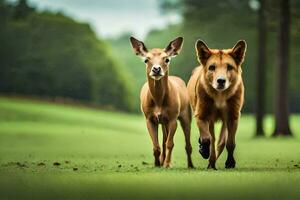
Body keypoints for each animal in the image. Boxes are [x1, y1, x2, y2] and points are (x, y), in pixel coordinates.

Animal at [129, 36, 195, 168]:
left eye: (167, 59)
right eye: (146, 60)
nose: (156, 69)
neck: (158, 102)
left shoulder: (173, 117)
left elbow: (170, 143)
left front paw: (167, 164)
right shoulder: (149, 118)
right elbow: (156, 146)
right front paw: (157, 163)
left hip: (185, 114)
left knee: (187, 143)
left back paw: (190, 165)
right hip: (163, 122)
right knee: (164, 140)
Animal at [188, 39, 246, 170]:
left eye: (229, 67)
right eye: (212, 67)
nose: (221, 81)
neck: (220, 96)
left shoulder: (233, 116)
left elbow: (230, 142)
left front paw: (230, 163)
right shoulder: (201, 115)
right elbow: (206, 139)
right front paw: (203, 150)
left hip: (225, 120)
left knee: (220, 142)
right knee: (212, 139)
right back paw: (210, 160)